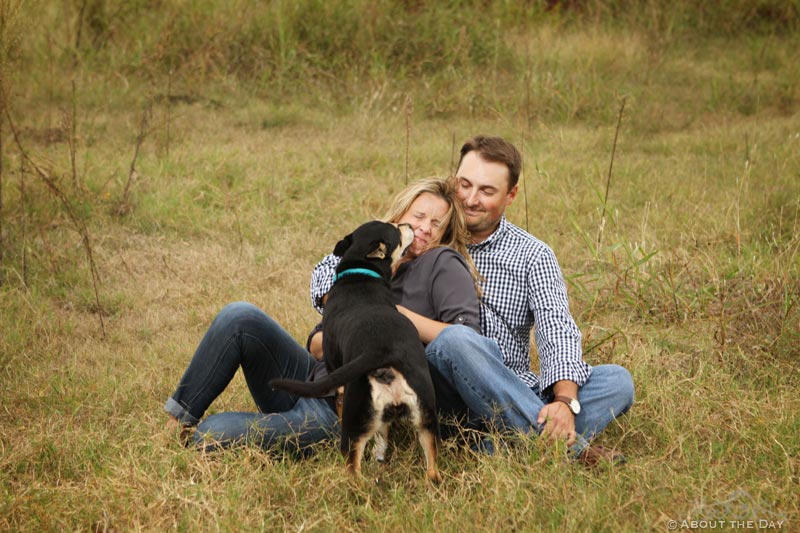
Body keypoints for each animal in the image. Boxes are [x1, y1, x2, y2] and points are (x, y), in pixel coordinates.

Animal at [272, 220, 440, 482]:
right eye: (397, 230)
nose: (408, 224)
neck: (360, 272)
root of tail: (381, 350)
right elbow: (382, 433)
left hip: (354, 419)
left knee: (353, 468)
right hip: (426, 418)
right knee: (432, 469)